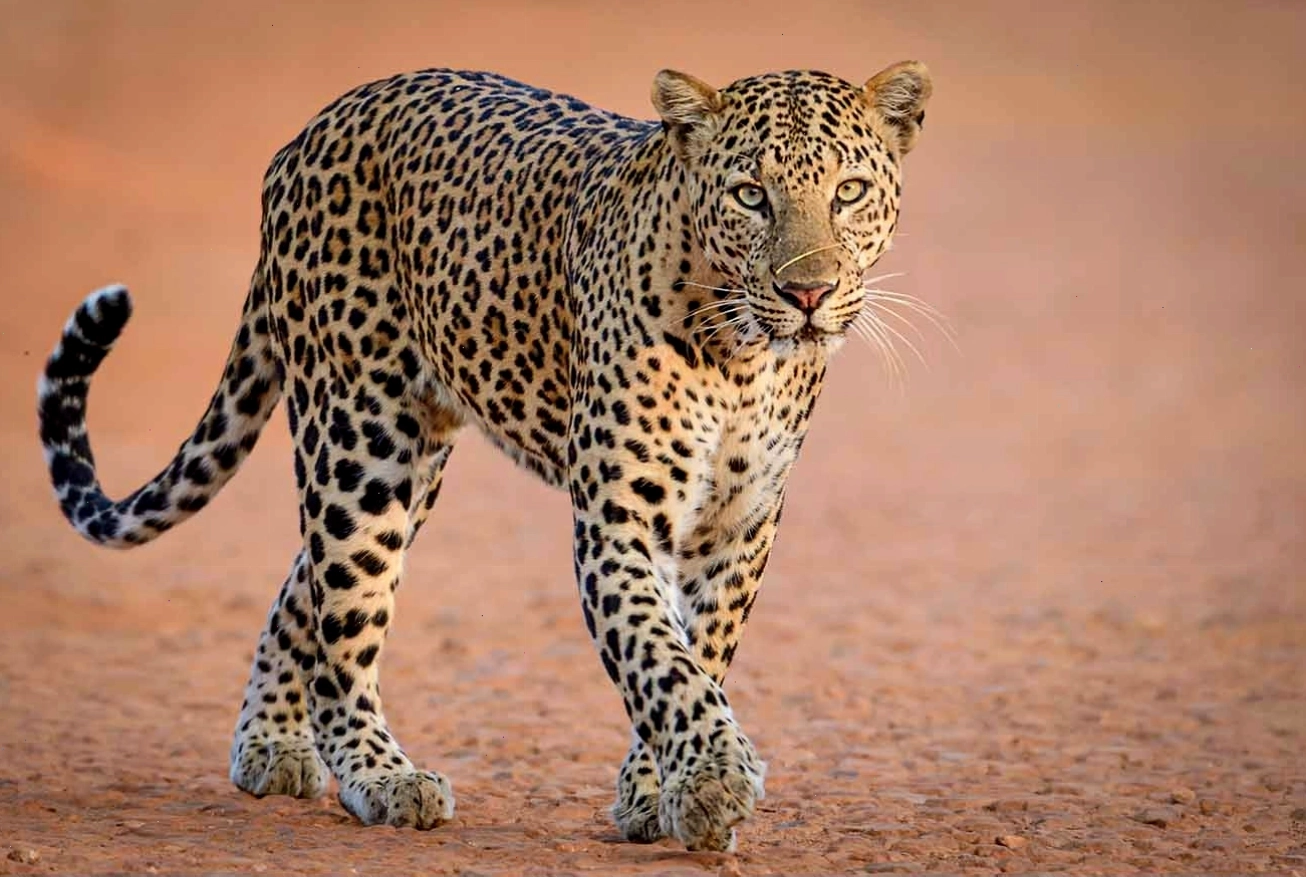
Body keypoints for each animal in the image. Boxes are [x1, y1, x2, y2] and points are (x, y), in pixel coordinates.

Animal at [37, 61, 932, 852]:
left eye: (849, 192)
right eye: (751, 194)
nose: (808, 293)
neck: (744, 360)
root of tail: (309, 133)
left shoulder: (738, 529)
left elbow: (700, 656)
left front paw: (659, 793)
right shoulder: (617, 521)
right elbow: (657, 657)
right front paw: (711, 777)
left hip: (409, 463)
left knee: (306, 587)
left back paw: (270, 745)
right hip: (361, 444)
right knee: (343, 619)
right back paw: (381, 776)